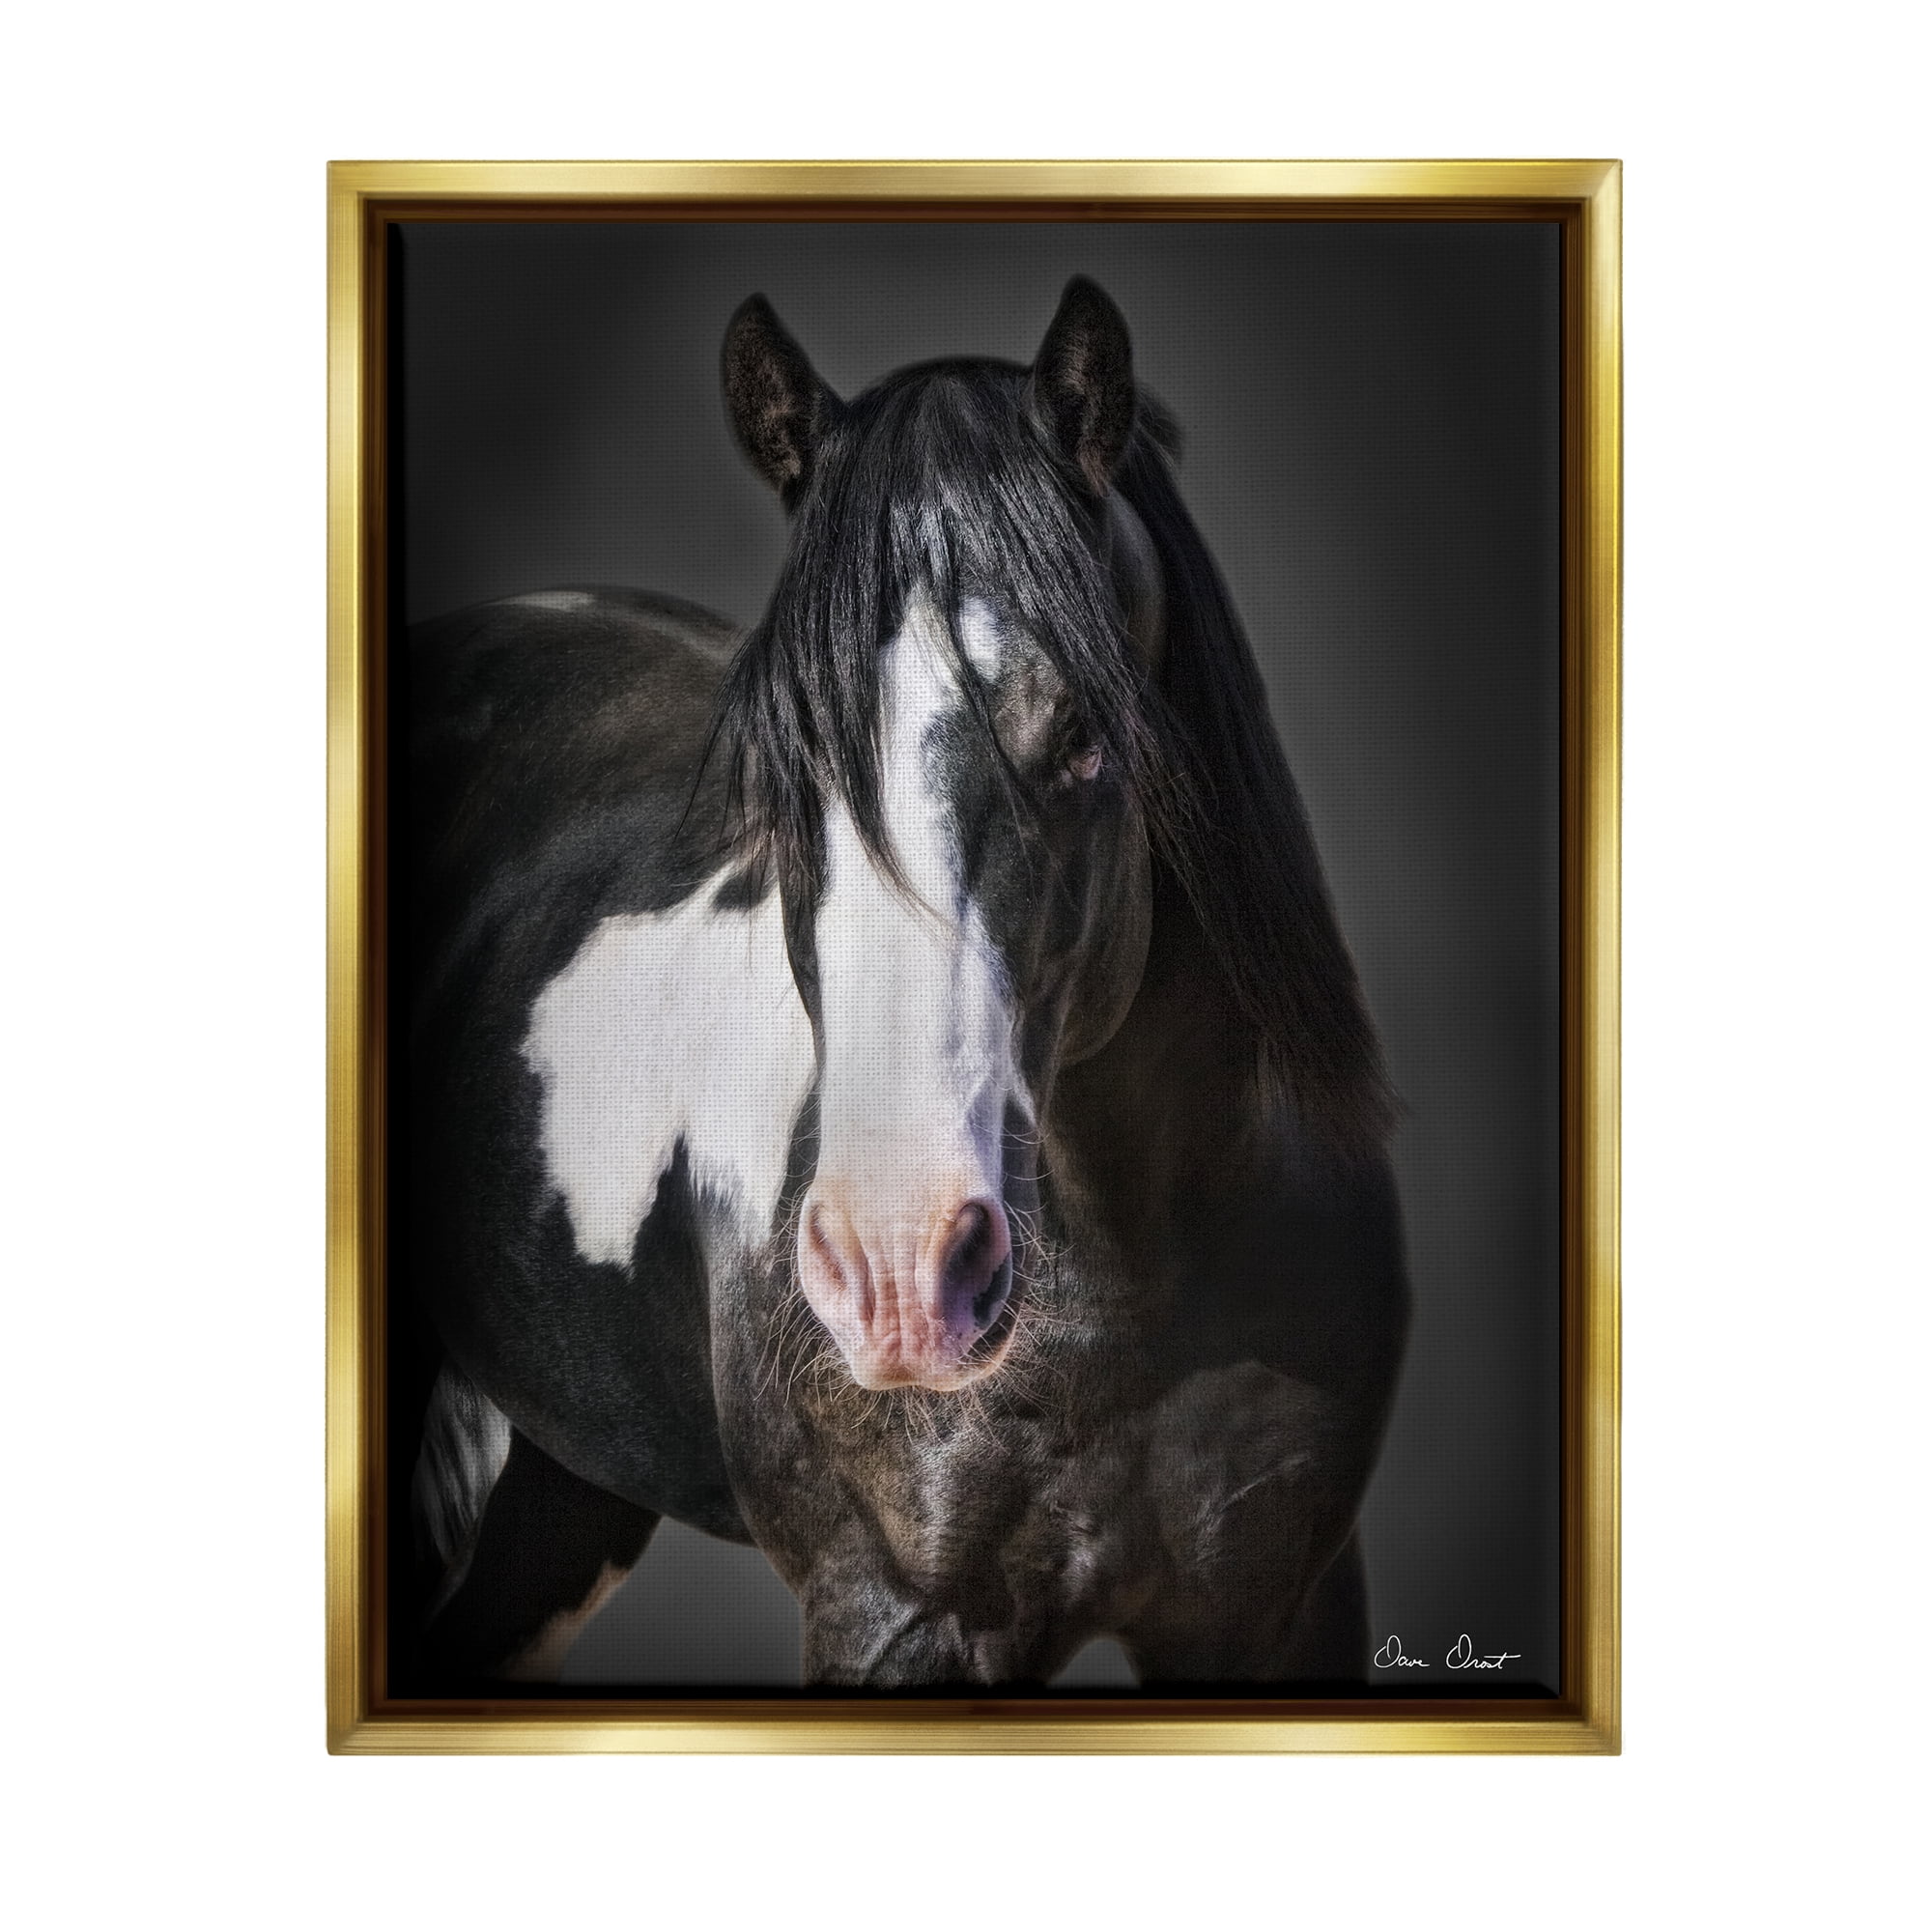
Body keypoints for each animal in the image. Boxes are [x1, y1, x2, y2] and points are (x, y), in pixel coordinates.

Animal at [398, 276, 1411, 1689]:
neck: (1138, 1280)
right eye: (781, 755)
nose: (898, 1270)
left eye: (1084, 737)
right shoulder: (896, 1624)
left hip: (561, 1481)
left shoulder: (1277, 1612)